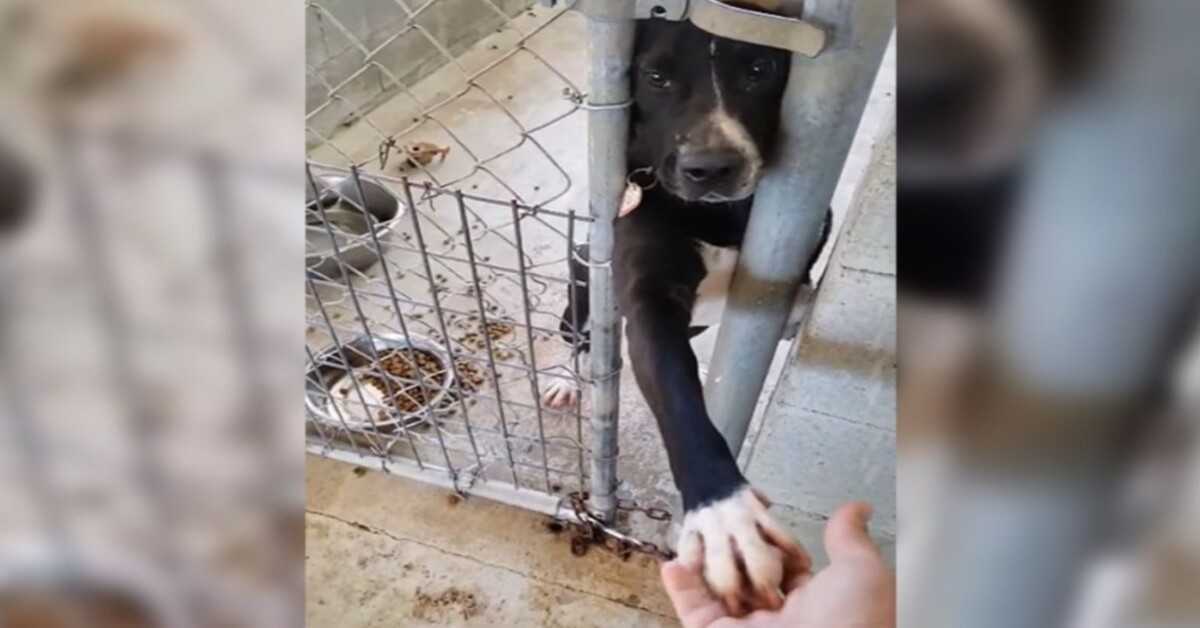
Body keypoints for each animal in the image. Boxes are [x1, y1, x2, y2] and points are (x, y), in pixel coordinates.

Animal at [547, 17, 835, 612]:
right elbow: (678, 398)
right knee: (577, 339)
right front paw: (726, 513)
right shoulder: (649, 304)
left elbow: (801, 299)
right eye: (654, 76)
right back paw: (566, 378)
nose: (711, 169)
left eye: (759, 68)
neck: (716, 216)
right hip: (581, 292)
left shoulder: (801, 259)